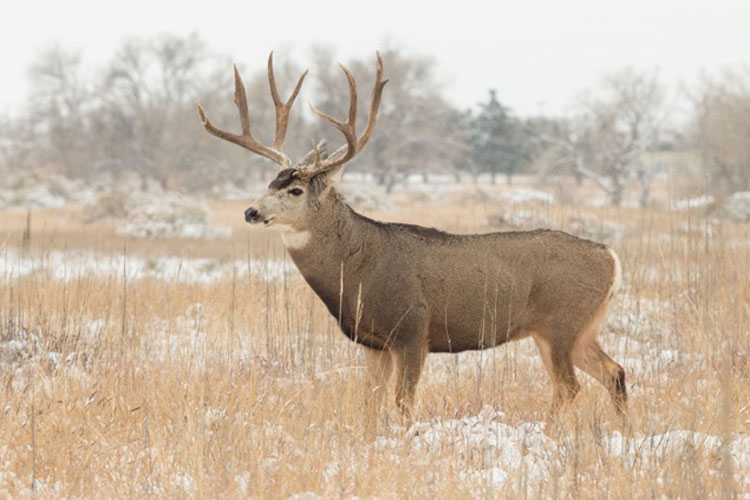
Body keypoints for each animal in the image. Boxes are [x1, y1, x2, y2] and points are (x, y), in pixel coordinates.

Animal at [195, 52, 628, 424]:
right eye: (270, 182)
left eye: (296, 190)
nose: (251, 211)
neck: (359, 268)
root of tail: (611, 257)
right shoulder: (373, 342)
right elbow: (370, 403)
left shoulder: (413, 331)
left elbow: (403, 404)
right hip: (580, 329)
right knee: (615, 372)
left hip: (560, 324)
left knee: (570, 387)